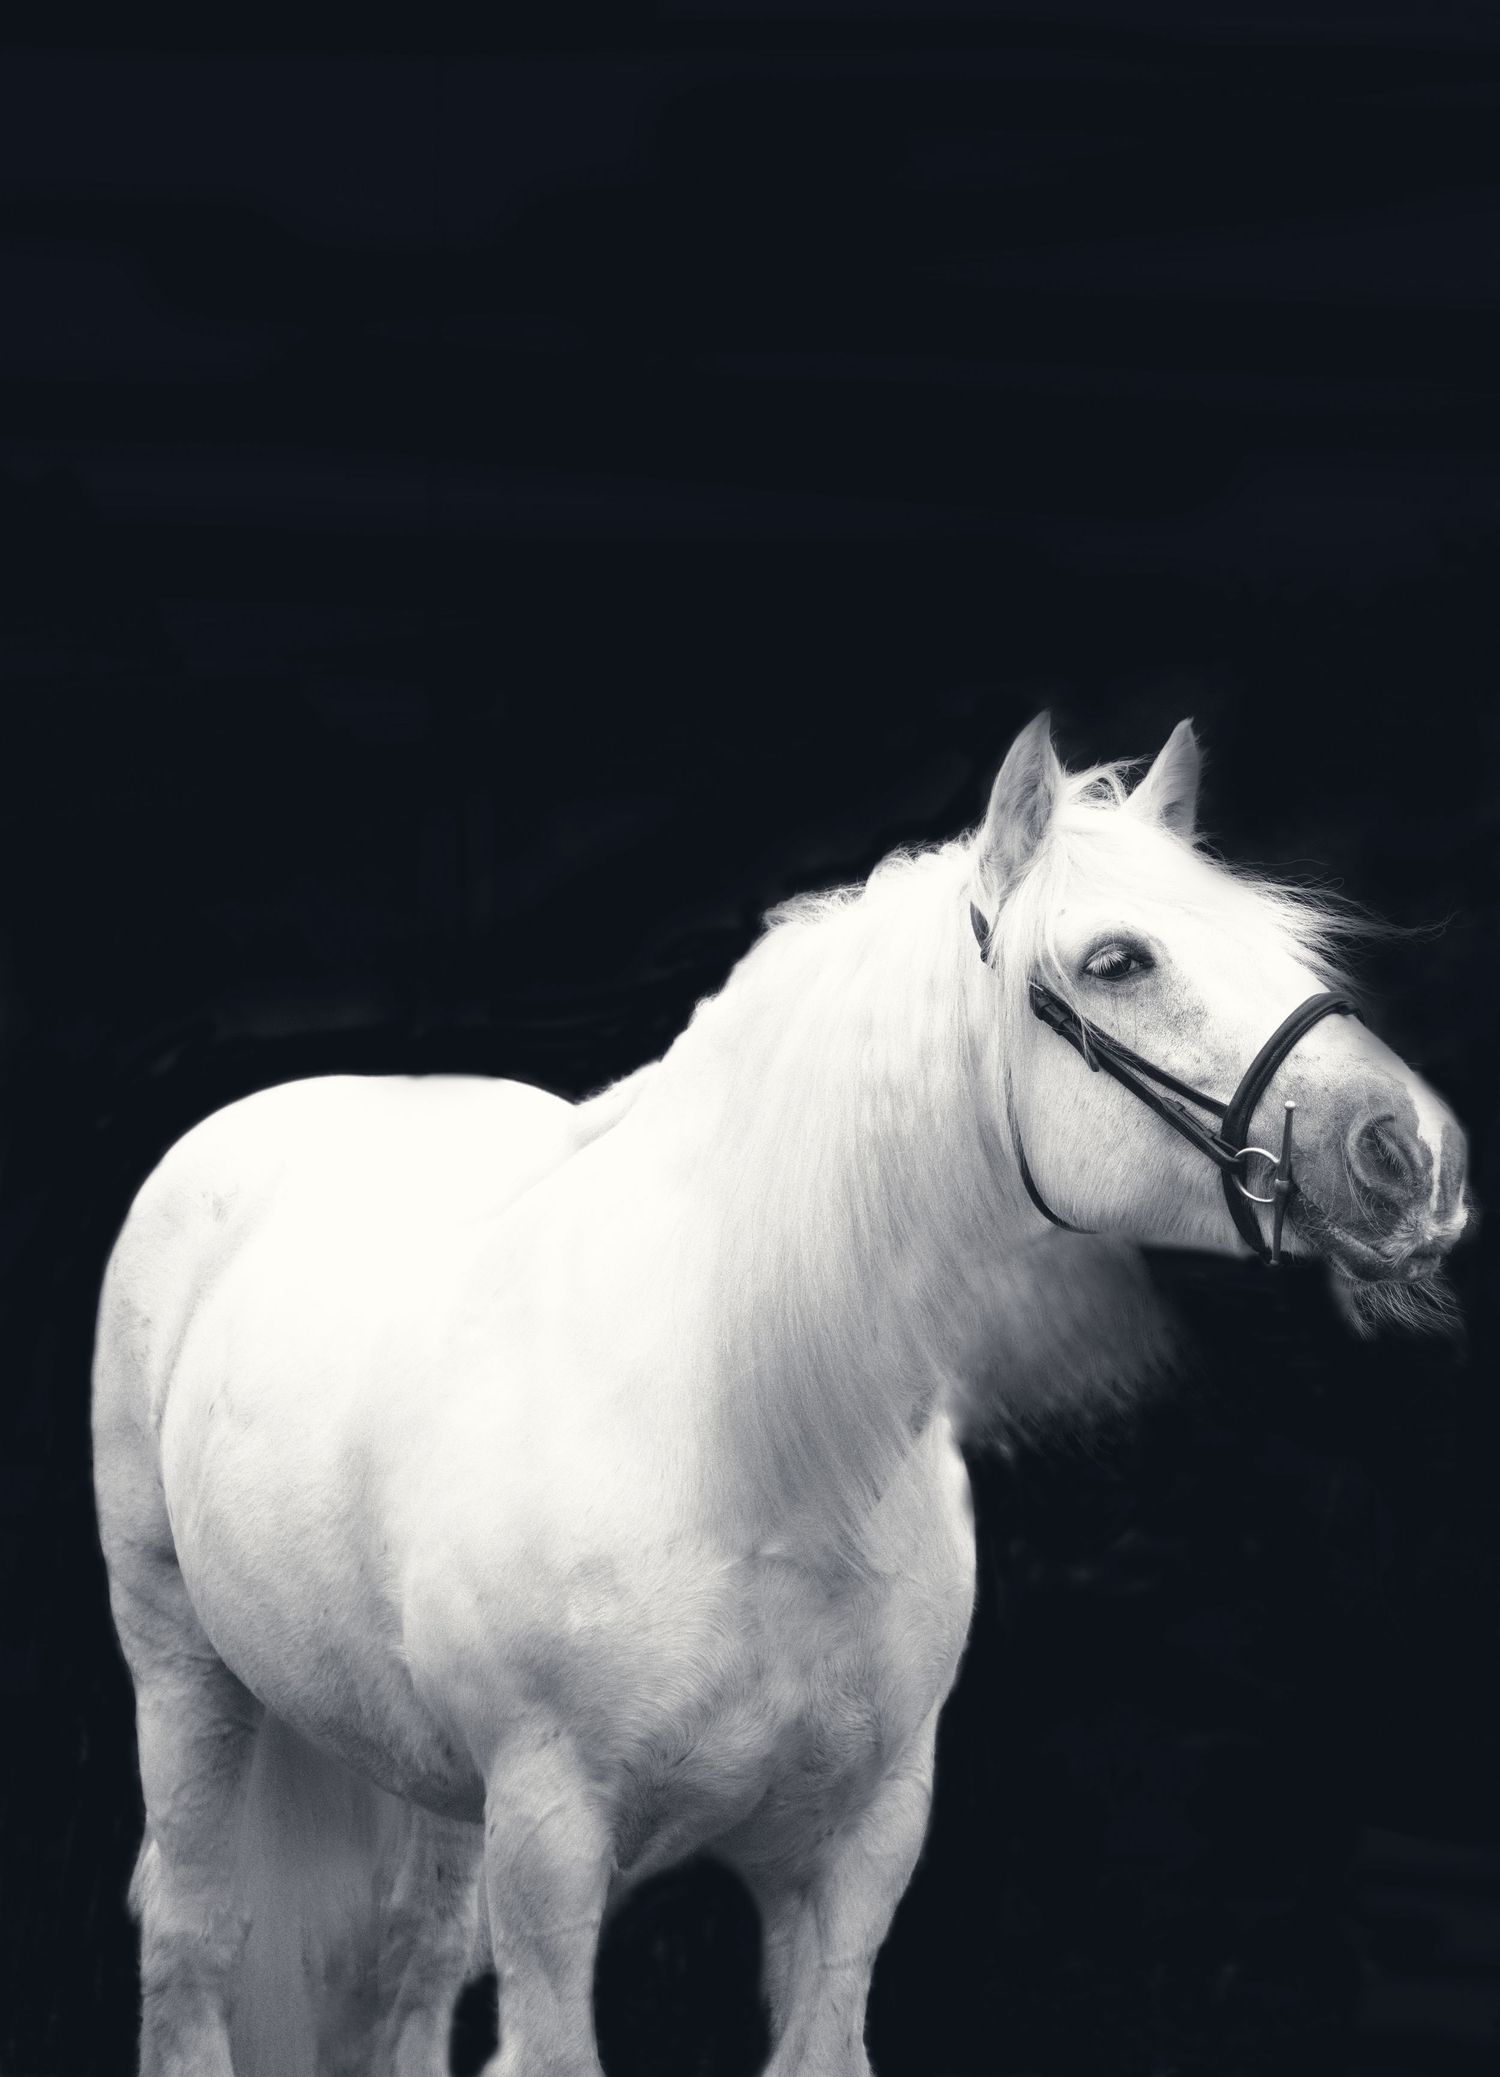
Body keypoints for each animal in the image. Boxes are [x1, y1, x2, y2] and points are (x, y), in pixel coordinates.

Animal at [92, 715, 1470, 2077]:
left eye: (1286, 941)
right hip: (185, 1672)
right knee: (194, 1932)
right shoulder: (548, 1839)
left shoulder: (860, 1842)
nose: (1416, 1158)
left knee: (408, 1970)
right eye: (1118, 960)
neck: (748, 1451)